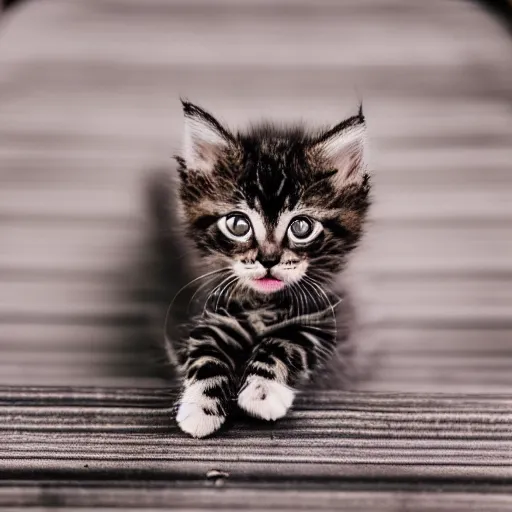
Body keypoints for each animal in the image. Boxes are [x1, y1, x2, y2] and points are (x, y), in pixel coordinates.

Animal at [170, 101, 370, 440]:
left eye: (301, 227)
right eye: (238, 224)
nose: (268, 260)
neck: (264, 306)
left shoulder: (327, 325)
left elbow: (284, 342)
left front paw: (262, 392)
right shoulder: (215, 316)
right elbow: (205, 352)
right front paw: (201, 408)